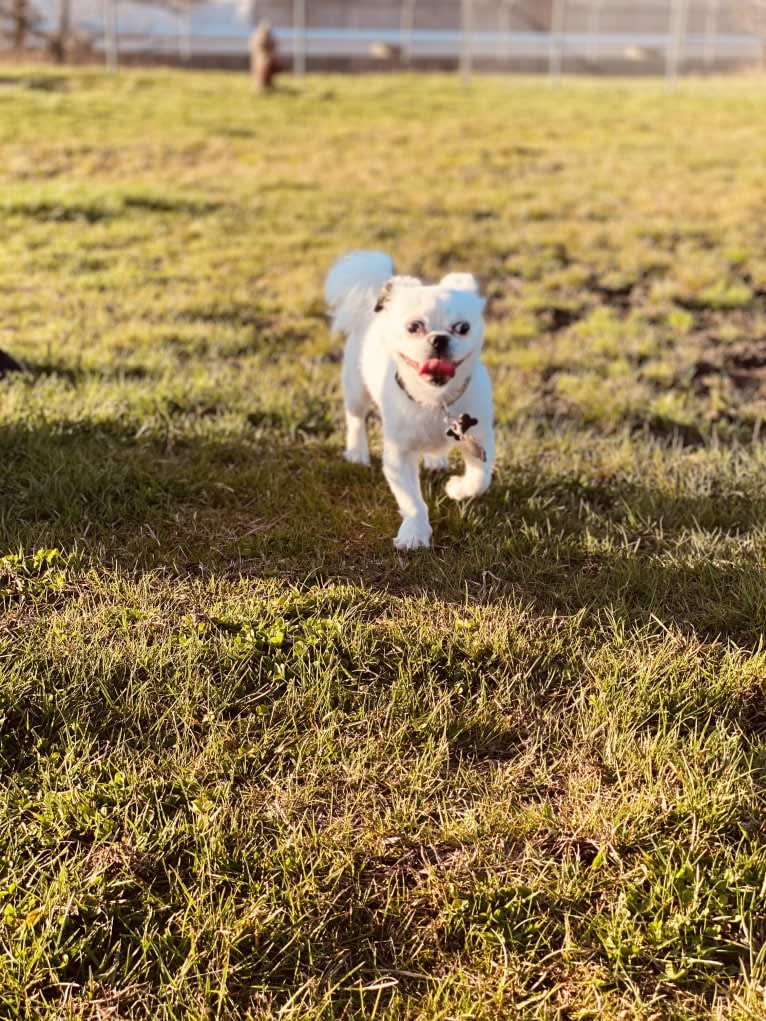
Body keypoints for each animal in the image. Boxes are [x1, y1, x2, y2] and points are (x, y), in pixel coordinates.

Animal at [324, 251, 494, 551]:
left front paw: (458, 488)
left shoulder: (480, 438)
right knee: (355, 418)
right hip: (356, 389)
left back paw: (435, 460)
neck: (435, 402)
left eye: (463, 328)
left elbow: (480, 478)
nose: (439, 339)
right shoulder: (398, 456)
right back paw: (357, 452)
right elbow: (412, 501)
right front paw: (414, 533)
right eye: (414, 327)